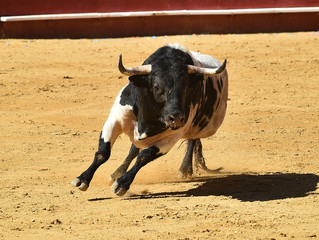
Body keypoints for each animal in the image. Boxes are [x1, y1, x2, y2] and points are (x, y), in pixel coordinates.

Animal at [71, 44, 229, 196]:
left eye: (186, 88)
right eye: (157, 87)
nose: (176, 118)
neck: (149, 117)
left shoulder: (169, 139)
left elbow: (144, 157)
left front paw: (122, 184)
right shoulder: (115, 120)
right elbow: (103, 152)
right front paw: (82, 179)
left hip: (197, 126)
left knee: (192, 140)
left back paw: (185, 169)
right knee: (133, 148)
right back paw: (116, 173)